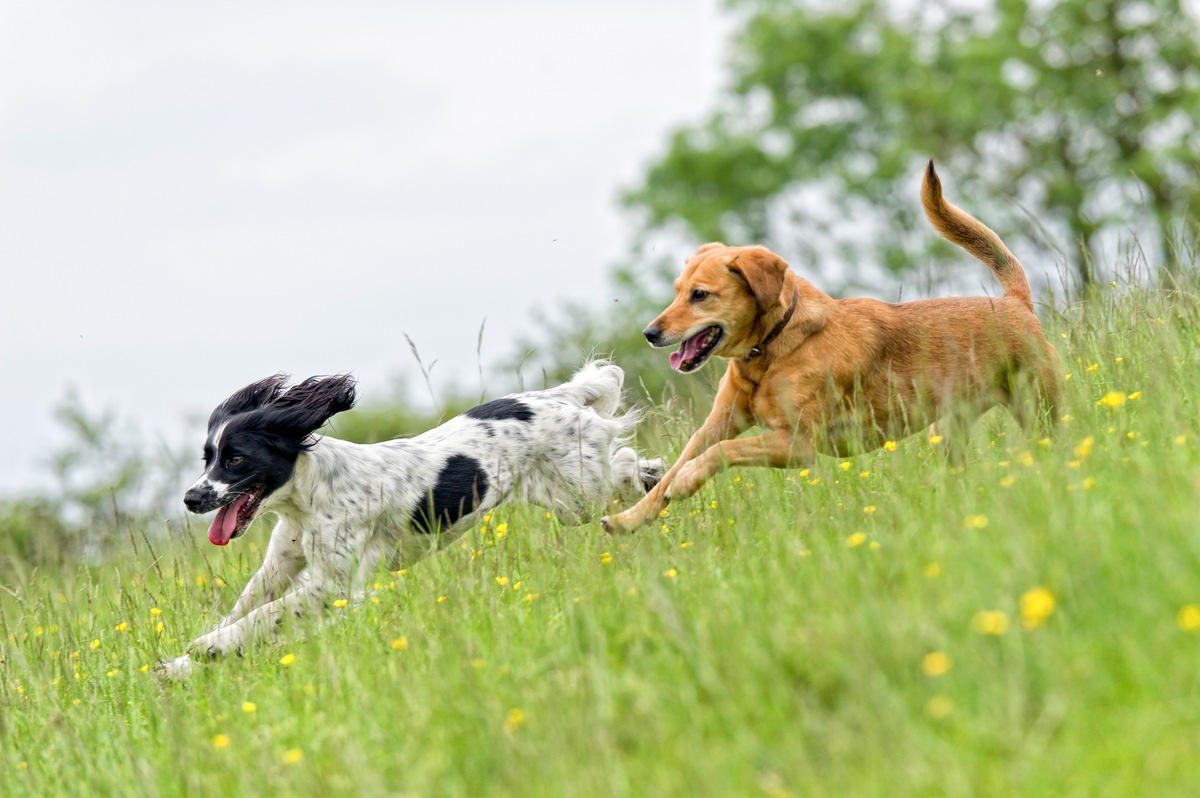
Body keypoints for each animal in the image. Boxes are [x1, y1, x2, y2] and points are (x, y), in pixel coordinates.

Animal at [157, 360, 667, 676]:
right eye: (208, 457)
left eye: (236, 459)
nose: (191, 498)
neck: (305, 499)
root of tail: (561, 396)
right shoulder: (282, 564)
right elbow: (247, 606)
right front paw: (183, 665)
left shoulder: (333, 583)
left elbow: (266, 614)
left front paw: (210, 648)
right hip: (566, 500)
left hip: (578, 494)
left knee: (621, 463)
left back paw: (652, 480)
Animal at [604, 160, 1065, 535]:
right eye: (677, 292)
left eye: (700, 295)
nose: (649, 332)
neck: (771, 350)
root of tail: (1016, 303)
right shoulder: (718, 423)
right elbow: (674, 470)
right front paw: (629, 519)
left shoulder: (798, 445)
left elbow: (719, 454)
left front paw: (686, 482)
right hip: (947, 431)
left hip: (1037, 410)